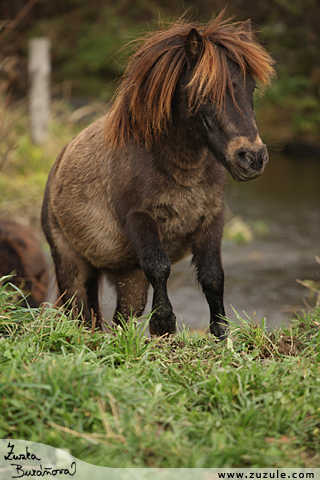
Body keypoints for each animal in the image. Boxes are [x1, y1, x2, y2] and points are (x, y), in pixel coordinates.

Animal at [40, 13, 276, 340]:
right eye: (204, 93)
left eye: (251, 88)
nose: (252, 158)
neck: (180, 168)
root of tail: (58, 164)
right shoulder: (140, 219)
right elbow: (160, 267)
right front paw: (164, 324)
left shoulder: (212, 220)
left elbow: (213, 276)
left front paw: (220, 332)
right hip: (72, 265)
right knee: (80, 313)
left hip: (129, 278)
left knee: (120, 319)